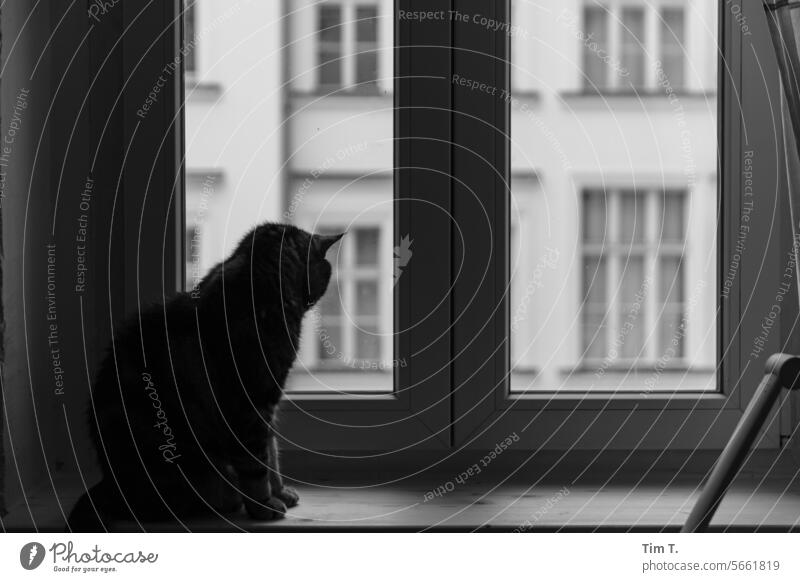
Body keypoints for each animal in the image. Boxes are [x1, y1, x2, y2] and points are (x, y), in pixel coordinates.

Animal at [68, 225, 344, 532]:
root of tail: (108, 485)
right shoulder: (249, 405)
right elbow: (257, 466)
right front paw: (263, 505)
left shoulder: (267, 405)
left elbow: (272, 455)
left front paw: (280, 491)